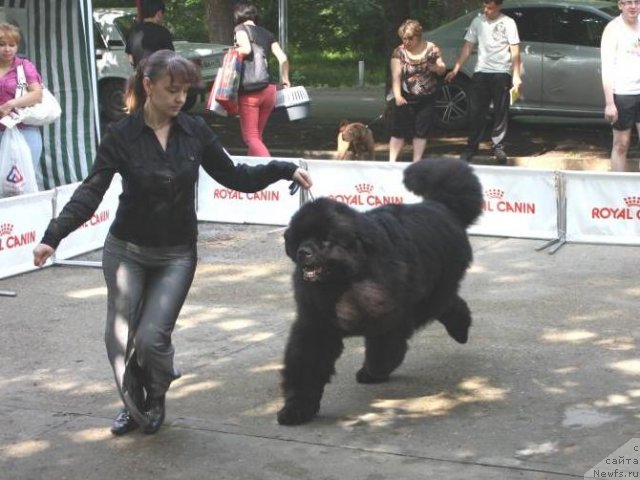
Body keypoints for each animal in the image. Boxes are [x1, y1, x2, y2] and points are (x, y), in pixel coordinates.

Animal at [278, 158, 482, 424]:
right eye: (300, 237)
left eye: (326, 240)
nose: (304, 252)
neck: (344, 281)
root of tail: (441, 206)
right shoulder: (316, 324)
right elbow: (306, 366)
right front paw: (297, 408)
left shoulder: (388, 316)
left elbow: (384, 350)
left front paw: (372, 372)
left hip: (430, 294)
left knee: (448, 304)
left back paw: (460, 329)